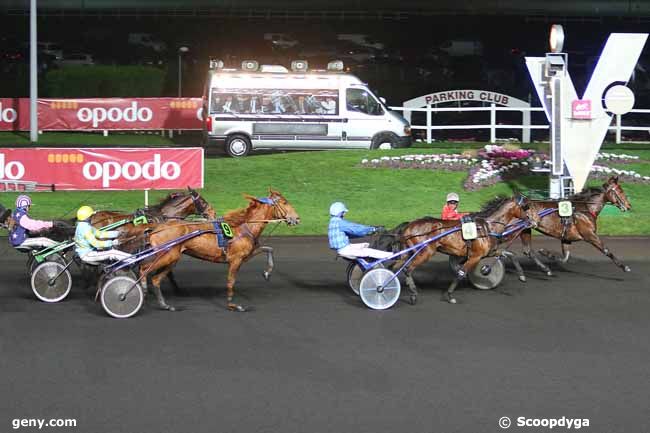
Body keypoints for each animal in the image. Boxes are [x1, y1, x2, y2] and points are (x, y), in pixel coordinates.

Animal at [117, 189, 300, 310]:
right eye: (284, 202)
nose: (297, 218)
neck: (243, 227)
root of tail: (157, 227)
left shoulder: (246, 255)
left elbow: (269, 249)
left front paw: (267, 273)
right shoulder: (235, 260)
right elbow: (231, 281)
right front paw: (232, 304)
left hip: (173, 257)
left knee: (154, 277)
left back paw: (163, 303)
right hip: (167, 255)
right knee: (144, 269)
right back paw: (139, 290)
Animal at [390, 196, 536, 304]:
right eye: (526, 207)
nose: (533, 221)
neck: (487, 227)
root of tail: (408, 226)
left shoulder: (489, 252)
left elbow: (511, 254)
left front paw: (522, 275)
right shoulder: (475, 257)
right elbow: (461, 273)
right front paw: (450, 296)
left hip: (409, 252)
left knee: (395, 266)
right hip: (425, 252)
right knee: (407, 269)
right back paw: (413, 294)